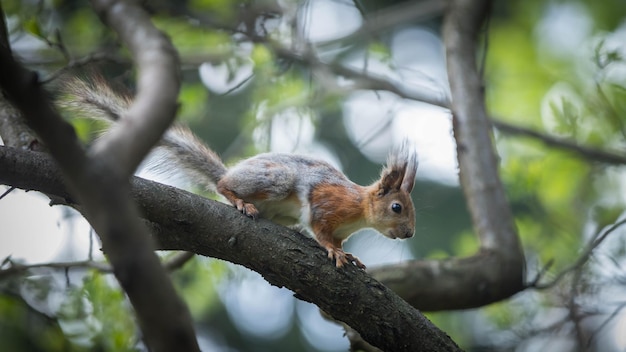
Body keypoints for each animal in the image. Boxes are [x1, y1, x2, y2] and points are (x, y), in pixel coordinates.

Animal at [58, 75, 416, 268]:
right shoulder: (326, 204)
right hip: (276, 180)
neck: (359, 211)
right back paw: (239, 200)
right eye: (397, 207)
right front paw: (333, 251)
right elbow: (322, 230)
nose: (410, 233)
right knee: (223, 186)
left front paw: (348, 254)